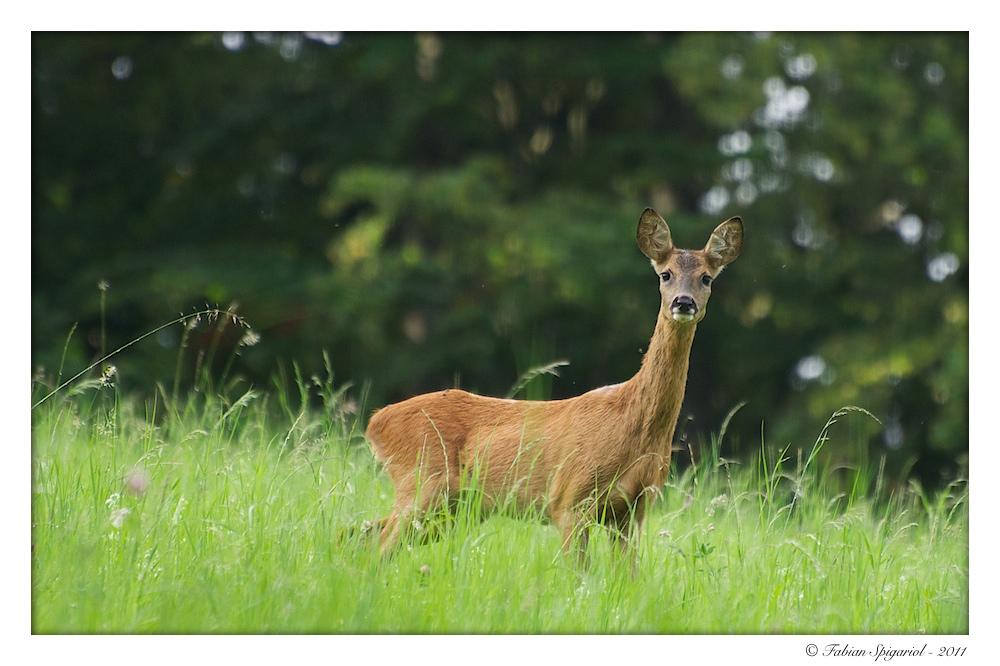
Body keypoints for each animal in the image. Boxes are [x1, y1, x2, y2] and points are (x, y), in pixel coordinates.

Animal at [368, 206, 744, 556]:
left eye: (706, 278)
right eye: (666, 274)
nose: (684, 302)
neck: (632, 424)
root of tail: (376, 422)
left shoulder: (633, 509)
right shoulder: (568, 500)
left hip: (455, 507)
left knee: (367, 533)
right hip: (423, 484)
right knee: (380, 545)